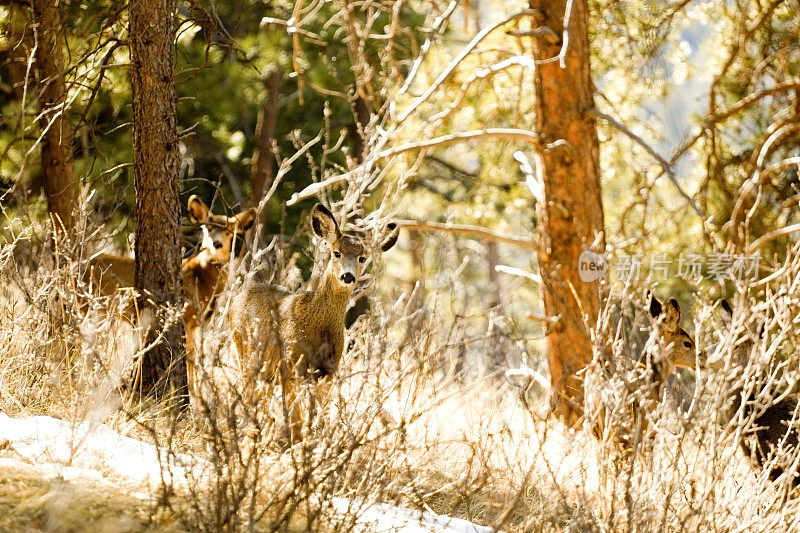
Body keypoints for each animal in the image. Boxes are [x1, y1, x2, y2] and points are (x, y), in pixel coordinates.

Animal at [228, 202, 396, 442]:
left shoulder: (329, 371)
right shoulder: (290, 365)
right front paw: (298, 443)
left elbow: (321, 415)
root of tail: (237, 299)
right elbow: (297, 418)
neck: (318, 326)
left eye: (363, 257)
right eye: (336, 253)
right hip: (244, 349)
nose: (347, 276)